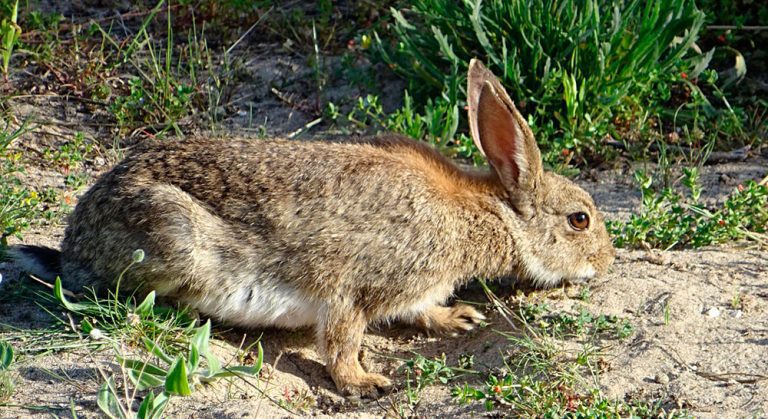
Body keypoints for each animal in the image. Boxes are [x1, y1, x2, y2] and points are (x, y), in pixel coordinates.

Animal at [9, 59, 615, 398]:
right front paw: (365, 384)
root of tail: (75, 244)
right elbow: (343, 338)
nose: (607, 263)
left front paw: (458, 318)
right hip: (172, 236)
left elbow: (420, 311)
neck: (489, 213)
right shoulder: (357, 284)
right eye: (579, 219)